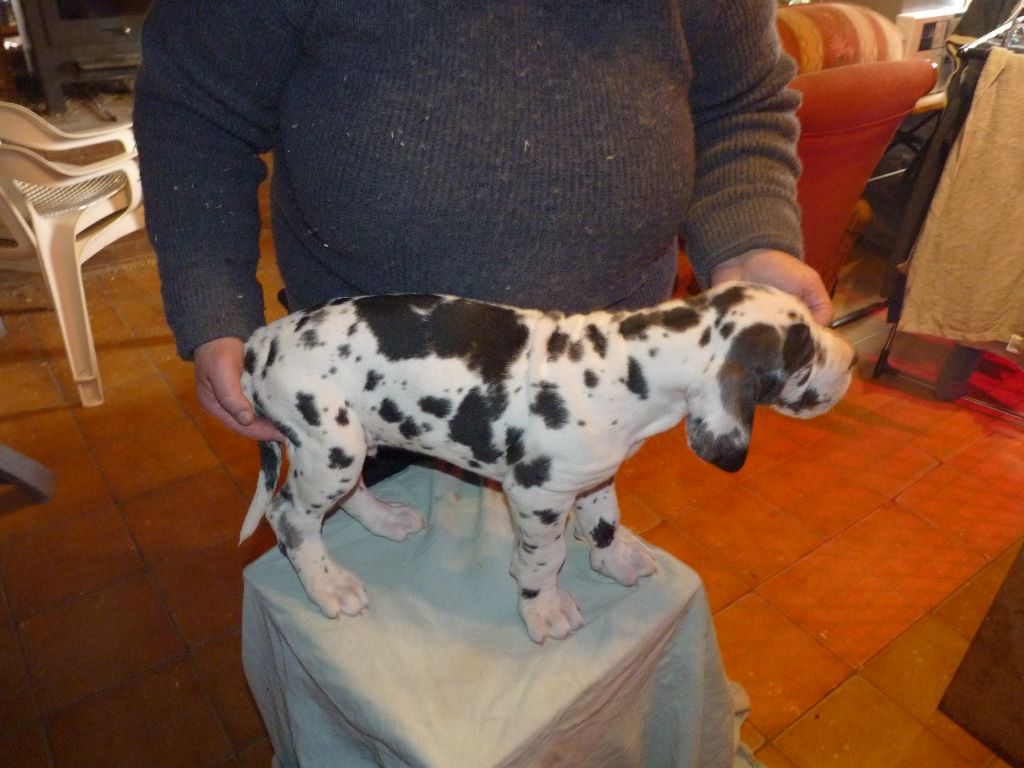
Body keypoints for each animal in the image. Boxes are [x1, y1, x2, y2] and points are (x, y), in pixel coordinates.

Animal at [239, 281, 856, 643]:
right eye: (804, 358)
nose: (851, 358)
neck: (624, 365)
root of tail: (261, 340)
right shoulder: (536, 495)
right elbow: (546, 557)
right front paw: (543, 608)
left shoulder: (591, 477)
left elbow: (603, 521)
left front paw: (613, 558)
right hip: (329, 447)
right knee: (291, 517)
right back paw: (329, 585)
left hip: (349, 442)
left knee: (345, 496)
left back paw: (384, 519)